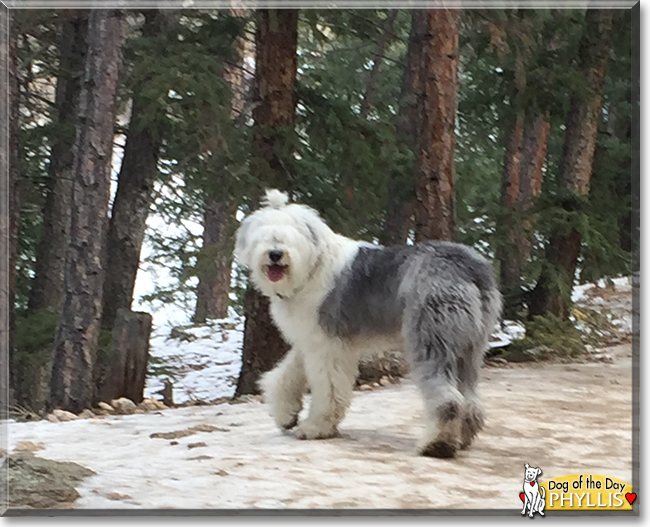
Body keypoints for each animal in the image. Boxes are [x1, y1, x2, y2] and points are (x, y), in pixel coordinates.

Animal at [234, 190, 502, 458]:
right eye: (264, 237)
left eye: (291, 237)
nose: (275, 254)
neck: (311, 266)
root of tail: (469, 266)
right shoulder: (311, 339)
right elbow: (286, 375)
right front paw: (286, 414)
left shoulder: (328, 345)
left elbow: (328, 389)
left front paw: (316, 427)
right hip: (470, 345)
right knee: (470, 399)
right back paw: (462, 438)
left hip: (432, 337)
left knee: (448, 399)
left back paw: (437, 444)